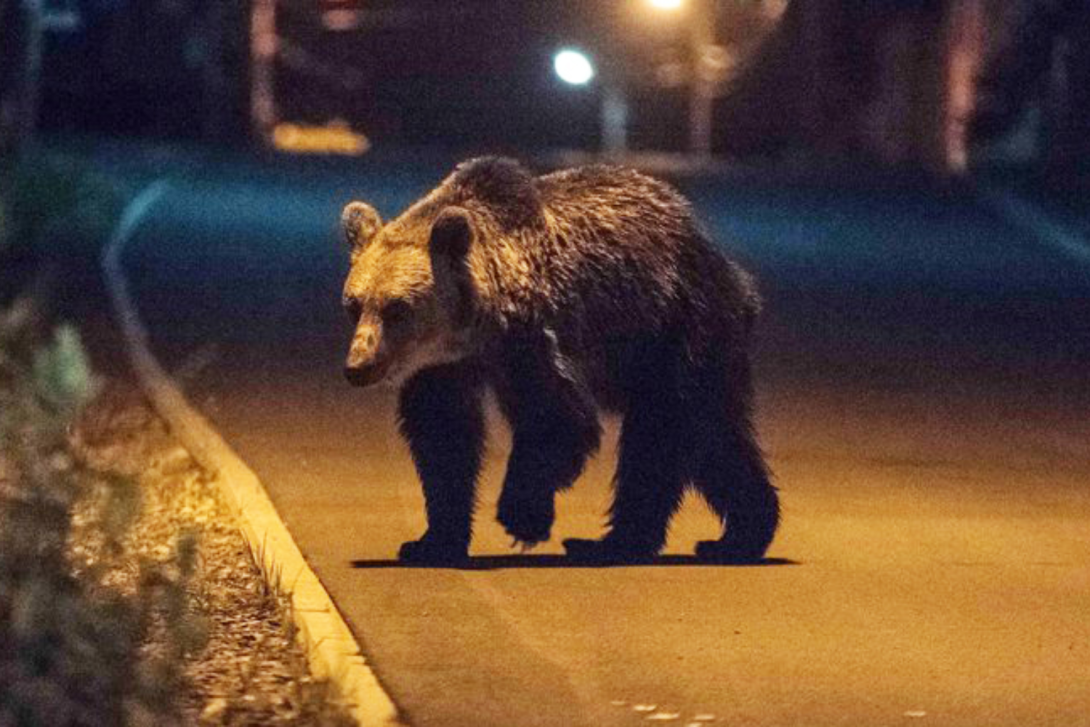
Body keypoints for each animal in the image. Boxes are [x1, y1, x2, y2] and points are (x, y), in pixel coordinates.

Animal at [337, 159, 776, 566]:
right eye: (354, 305)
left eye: (397, 308)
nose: (358, 366)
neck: (474, 327)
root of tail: (731, 271)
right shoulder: (445, 366)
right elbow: (443, 434)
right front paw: (431, 542)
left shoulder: (530, 338)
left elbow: (558, 417)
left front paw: (521, 517)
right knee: (711, 437)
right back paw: (735, 535)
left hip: (678, 328)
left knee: (665, 430)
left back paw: (623, 541)